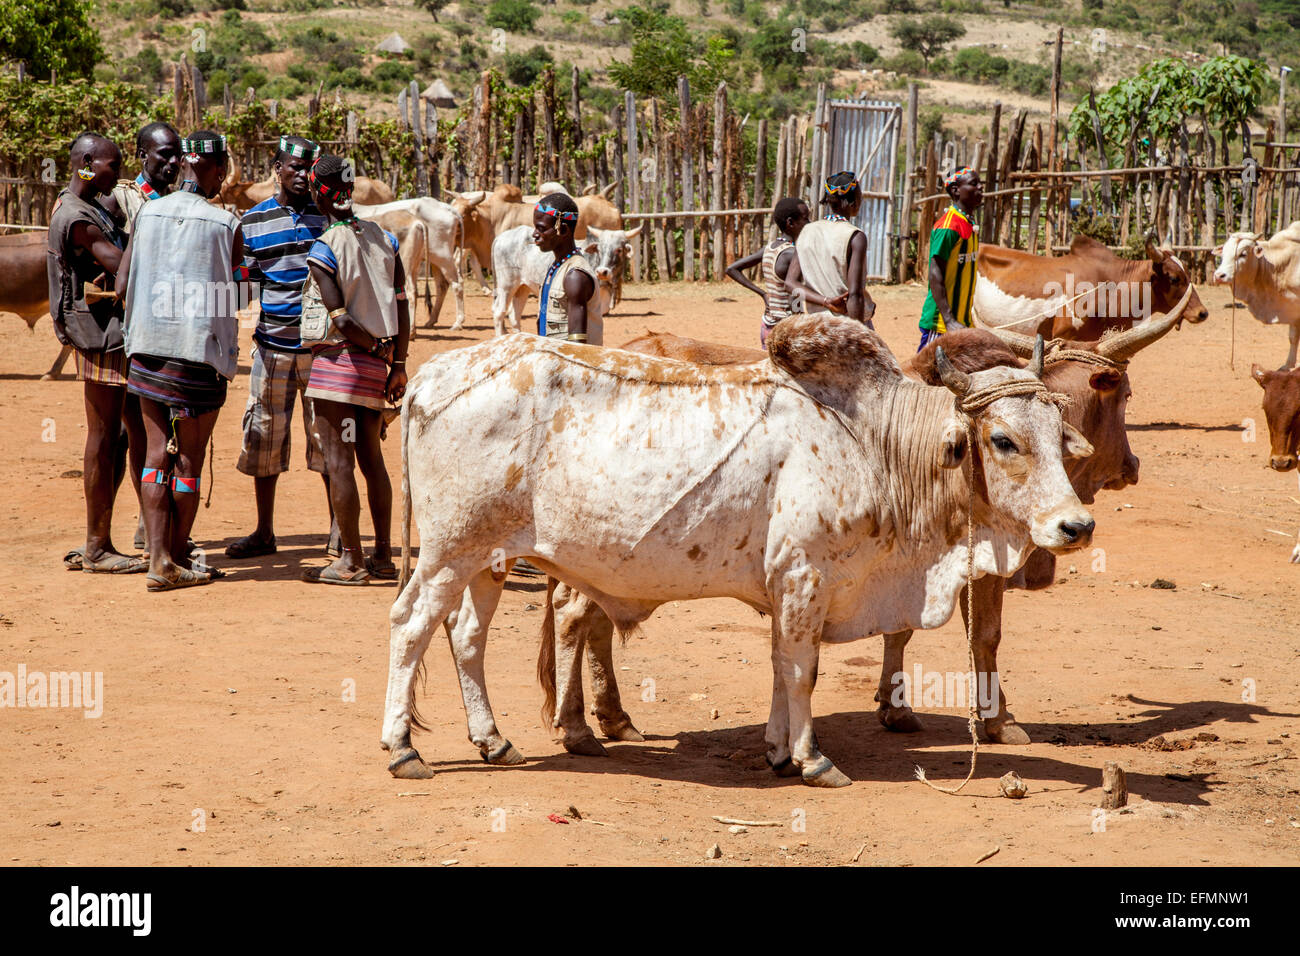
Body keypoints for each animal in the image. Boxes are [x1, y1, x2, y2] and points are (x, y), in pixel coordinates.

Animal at [353, 196, 465, 330]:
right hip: (428, 261)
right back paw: (430, 321)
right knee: (440, 286)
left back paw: (456, 323)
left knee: (456, 284)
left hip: (440, 257)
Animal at [379, 317, 1092, 790]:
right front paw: (812, 760)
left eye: (1060, 432)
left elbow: (781, 667)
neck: (875, 444)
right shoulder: (804, 578)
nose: (1076, 525)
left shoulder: (790, 588)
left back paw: (493, 741)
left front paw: (777, 751)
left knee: (467, 636)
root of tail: (433, 374)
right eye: (1003, 439)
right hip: (448, 552)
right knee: (411, 626)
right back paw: (403, 748)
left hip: (489, 560)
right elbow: (802, 671)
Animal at [1211, 223, 1300, 369]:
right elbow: (1293, 337)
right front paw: (1288, 366)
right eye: (1223, 253)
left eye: (1243, 254)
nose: (1219, 276)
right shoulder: (1291, 309)